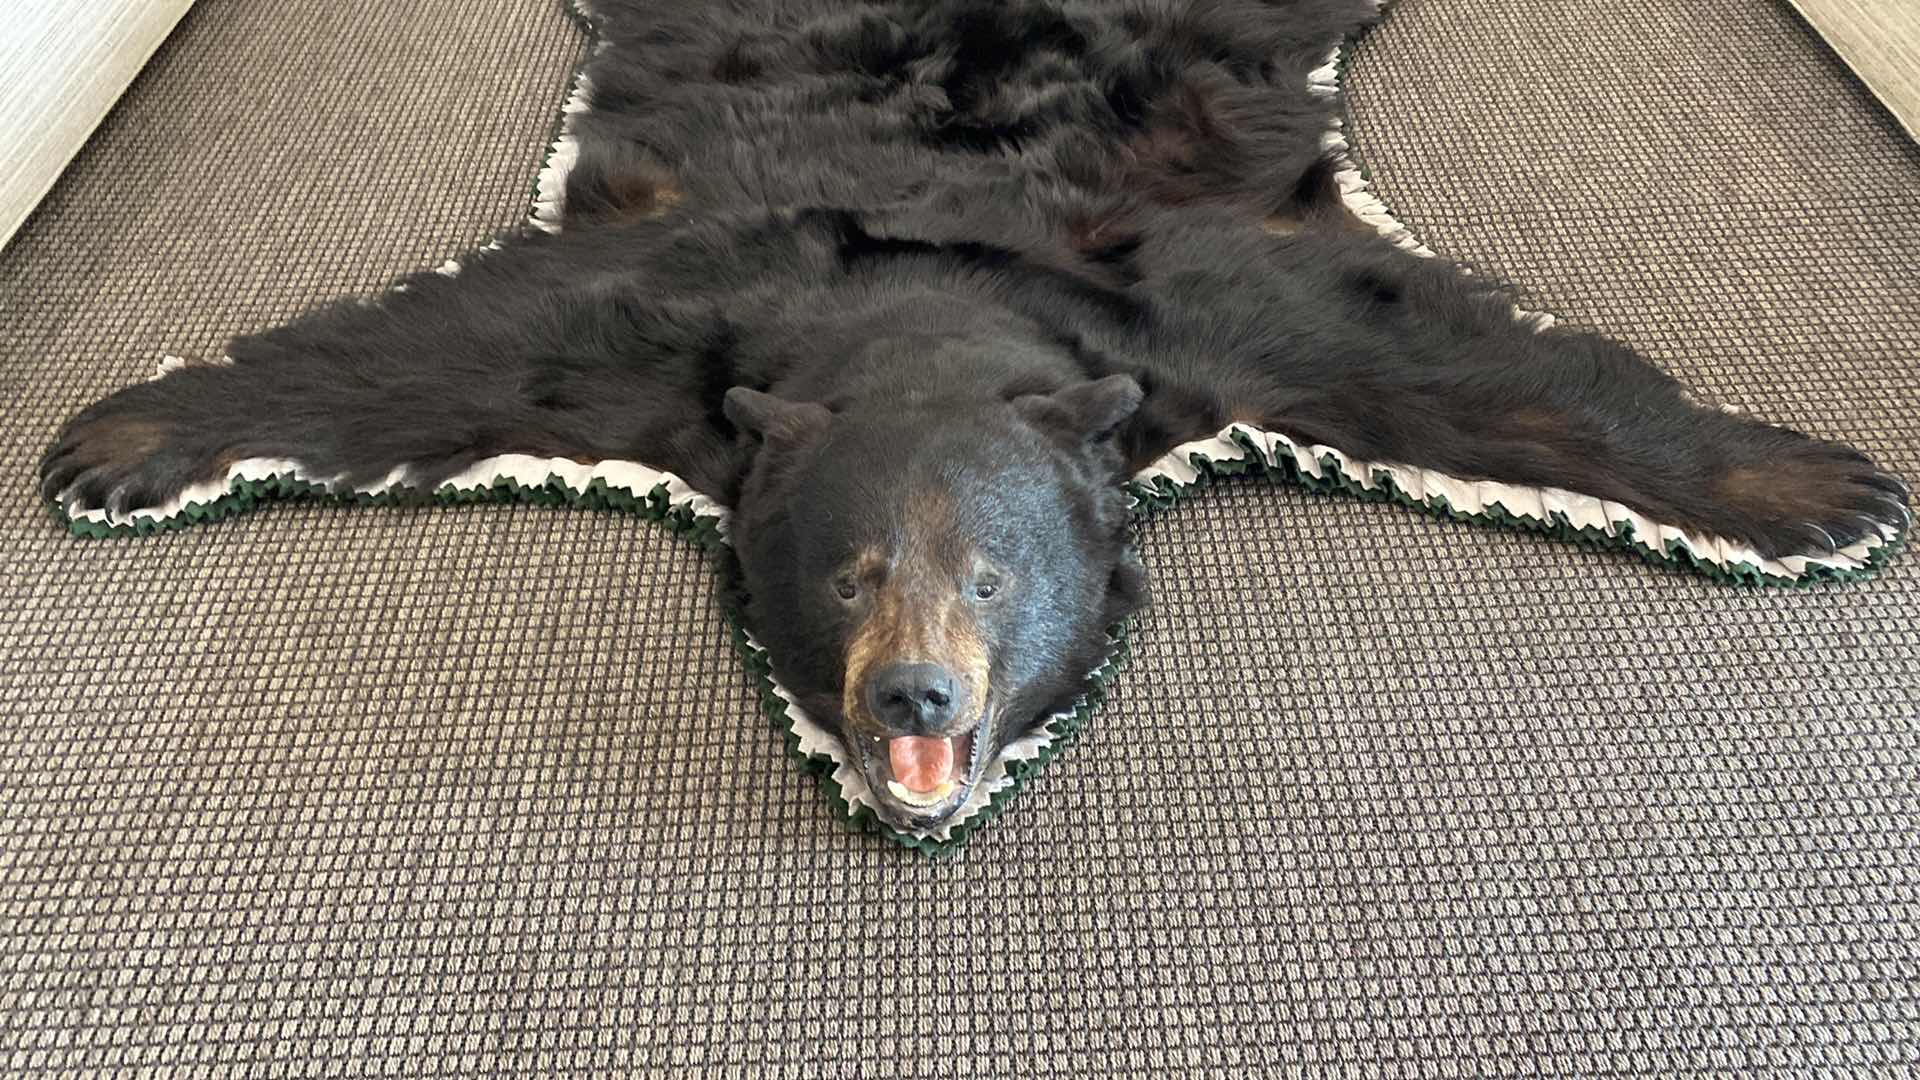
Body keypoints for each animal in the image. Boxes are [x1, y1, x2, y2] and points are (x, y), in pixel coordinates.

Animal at [38, 0, 1909, 831]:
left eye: (1000, 578)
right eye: (849, 571)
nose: (920, 694)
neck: (930, 316)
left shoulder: (1191, 307)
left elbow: (1448, 360)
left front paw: (1812, 487)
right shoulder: (678, 320)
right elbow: (439, 345)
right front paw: (120, 441)